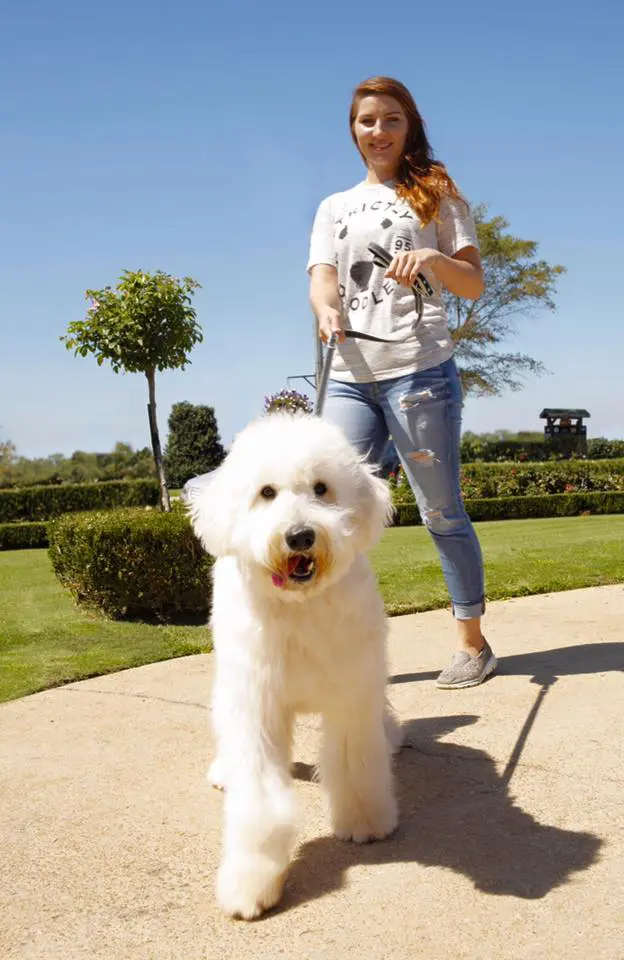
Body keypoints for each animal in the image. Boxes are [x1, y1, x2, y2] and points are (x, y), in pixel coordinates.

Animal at [188, 414, 402, 924]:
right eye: (266, 492)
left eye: (322, 488)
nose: (301, 536)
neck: (300, 607)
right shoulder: (256, 704)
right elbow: (260, 802)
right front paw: (251, 884)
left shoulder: (351, 693)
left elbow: (354, 762)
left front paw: (365, 822)